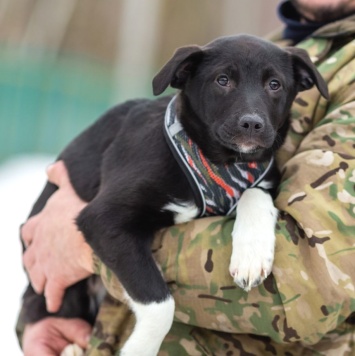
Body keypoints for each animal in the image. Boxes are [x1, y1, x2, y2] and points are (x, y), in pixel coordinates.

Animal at [21, 34, 328, 356]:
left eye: (274, 84)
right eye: (222, 80)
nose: (252, 124)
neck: (220, 163)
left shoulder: (262, 178)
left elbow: (254, 193)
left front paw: (251, 254)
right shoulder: (102, 218)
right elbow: (160, 303)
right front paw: (139, 349)